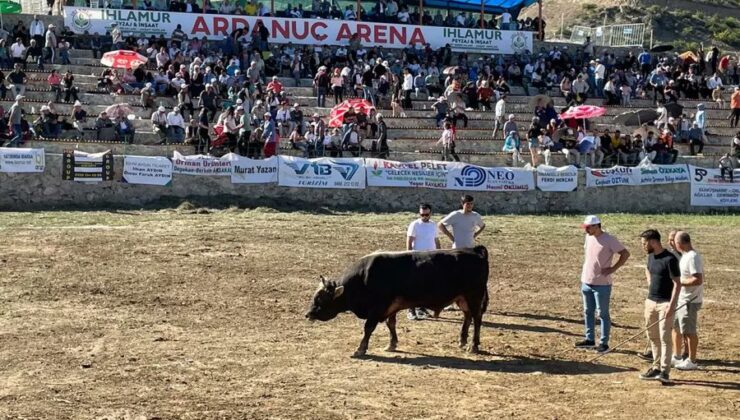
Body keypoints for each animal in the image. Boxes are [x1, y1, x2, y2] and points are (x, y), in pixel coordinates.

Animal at [304, 246, 488, 358]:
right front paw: (391, 344)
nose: (308, 314)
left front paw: (360, 349)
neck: (365, 277)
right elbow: (390, 324)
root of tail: (474, 250)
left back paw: (473, 346)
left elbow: (368, 327)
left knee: (477, 318)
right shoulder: (390, 307)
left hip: (473, 296)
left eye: (320, 298)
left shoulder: (378, 307)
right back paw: (462, 341)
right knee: (468, 317)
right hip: (462, 298)